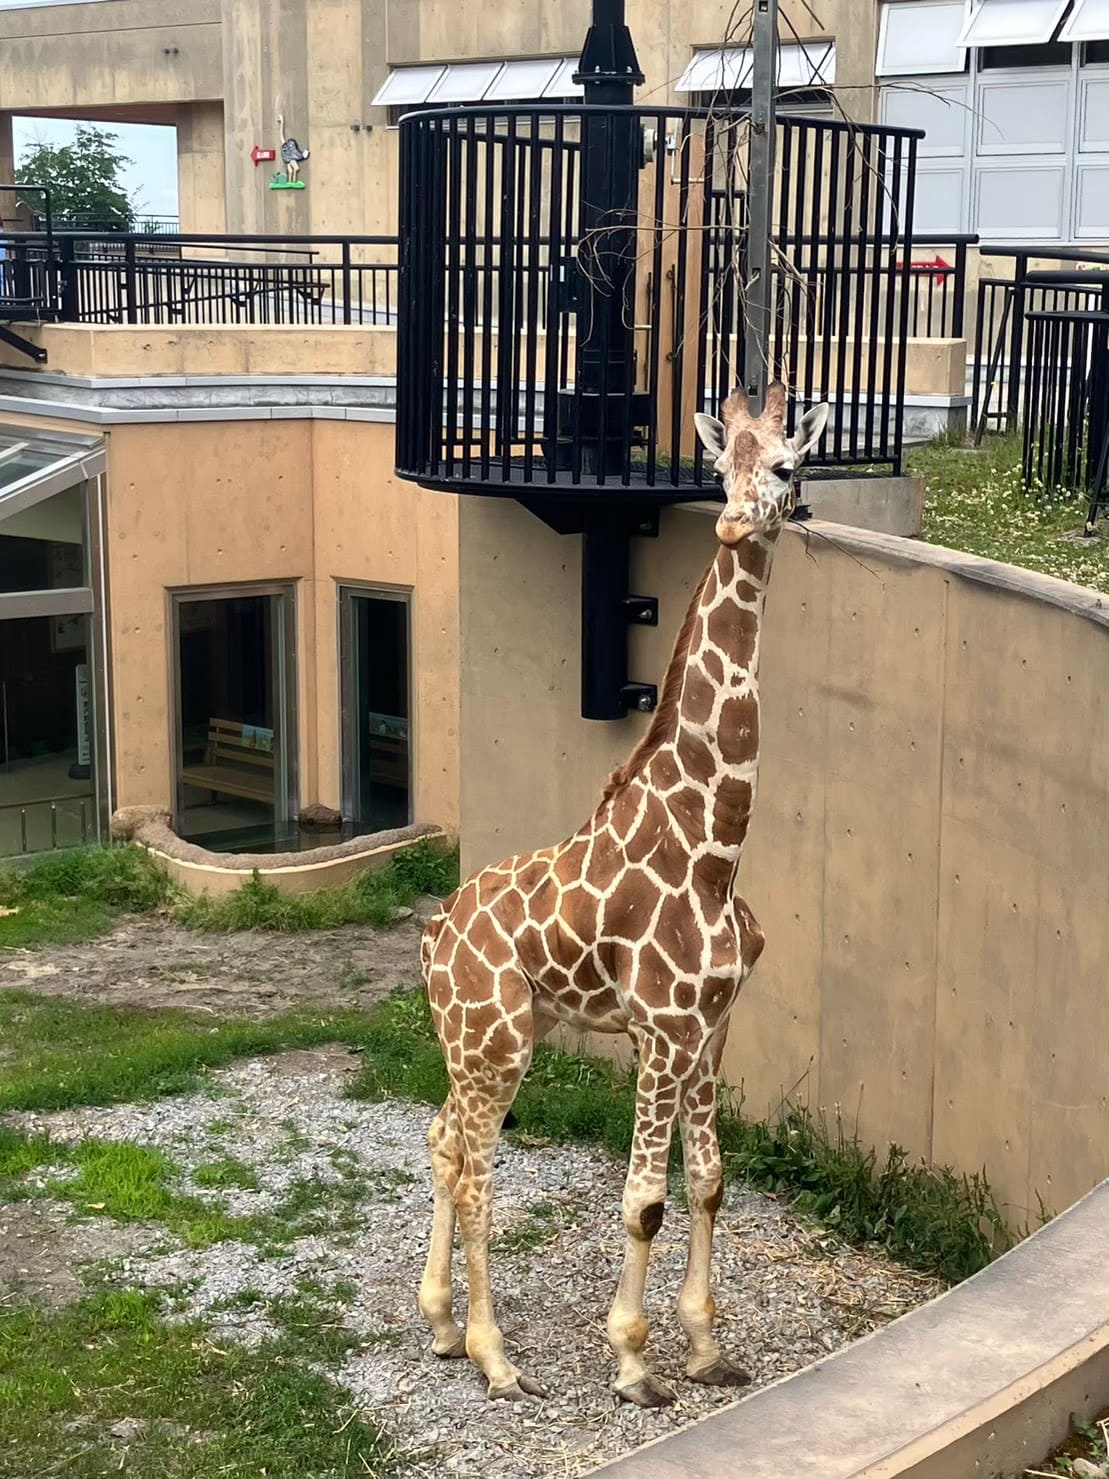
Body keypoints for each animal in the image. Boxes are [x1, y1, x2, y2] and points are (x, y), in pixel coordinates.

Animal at [419, 387, 828, 1402]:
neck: (717, 850)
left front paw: (708, 1348)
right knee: (478, 1169)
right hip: (497, 1039)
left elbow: (709, 1179)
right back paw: (495, 1357)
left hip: (472, 1040)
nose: (735, 521)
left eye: (785, 466)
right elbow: (643, 1199)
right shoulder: (662, 1029)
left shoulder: (713, 1026)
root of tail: (435, 930)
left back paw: (441, 1326)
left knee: (444, 1139)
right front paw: (634, 1362)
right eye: (718, 469)